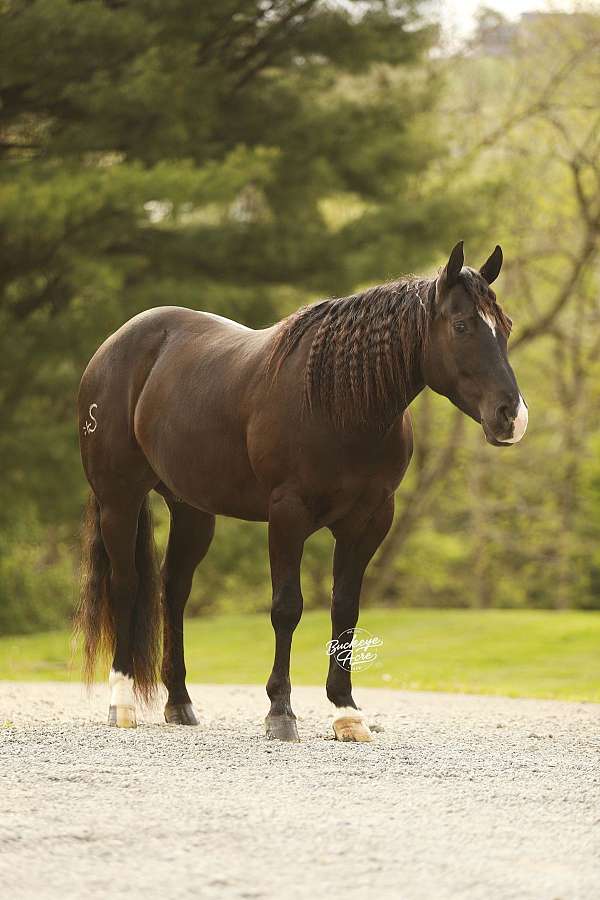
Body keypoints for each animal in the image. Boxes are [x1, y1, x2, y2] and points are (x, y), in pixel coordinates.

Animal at [76, 241, 527, 741]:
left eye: (505, 326)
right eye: (462, 325)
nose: (511, 417)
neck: (340, 402)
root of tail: (116, 344)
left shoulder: (368, 521)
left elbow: (345, 609)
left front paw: (346, 712)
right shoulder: (287, 515)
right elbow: (287, 608)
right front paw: (280, 711)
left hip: (192, 510)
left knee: (173, 590)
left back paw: (180, 703)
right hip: (119, 500)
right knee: (127, 584)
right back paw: (121, 704)